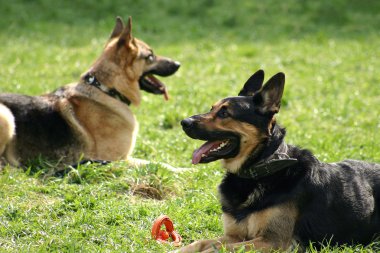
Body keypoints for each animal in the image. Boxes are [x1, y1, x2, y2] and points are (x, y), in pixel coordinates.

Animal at [0, 17, 180, 168]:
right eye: (150, 56)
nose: (178, 64)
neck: (106, 90)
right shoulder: (119, 159)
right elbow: (161, 165)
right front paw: (183, 170)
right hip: (7, 116)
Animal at [179, 69, 380, 251]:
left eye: (224, 113)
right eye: (212, 108)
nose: (184, 122)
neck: (259, 169)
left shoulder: (272, 241)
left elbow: (218, 249)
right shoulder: (234, 235)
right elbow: (200, 243)